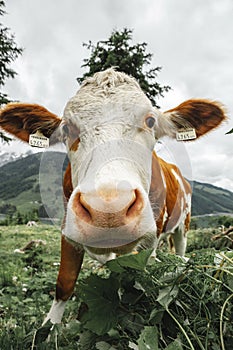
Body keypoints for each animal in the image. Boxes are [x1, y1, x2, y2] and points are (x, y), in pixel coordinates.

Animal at [0, 67, 226, 324]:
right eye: (67, 128)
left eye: (150, 121)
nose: (108, 211)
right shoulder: (68, 226)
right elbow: (65, 283)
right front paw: (48, 328)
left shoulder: (151, 234)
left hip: (183, 225)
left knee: (179, 251)